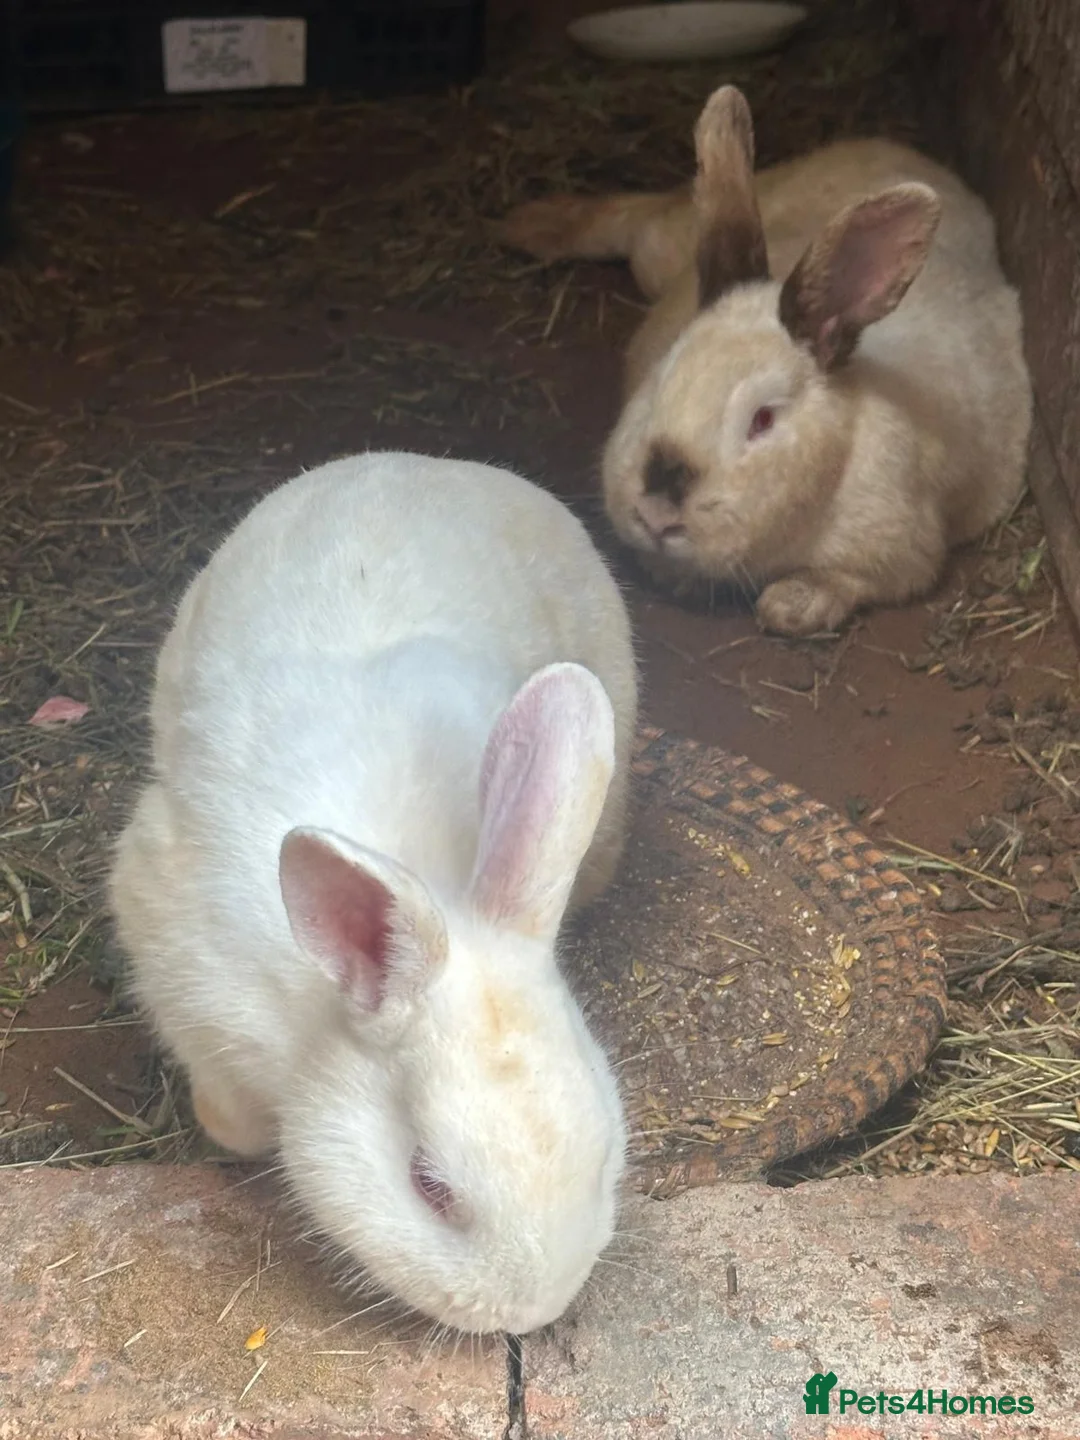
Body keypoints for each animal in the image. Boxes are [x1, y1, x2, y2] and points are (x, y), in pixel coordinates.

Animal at [500, 87, 1032, 636]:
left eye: (763, 419)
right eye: (659, 380)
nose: (655, 513)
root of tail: (891, 148)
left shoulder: (903, 553)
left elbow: (852, 580)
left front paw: (791, 605)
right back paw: (528, 223)